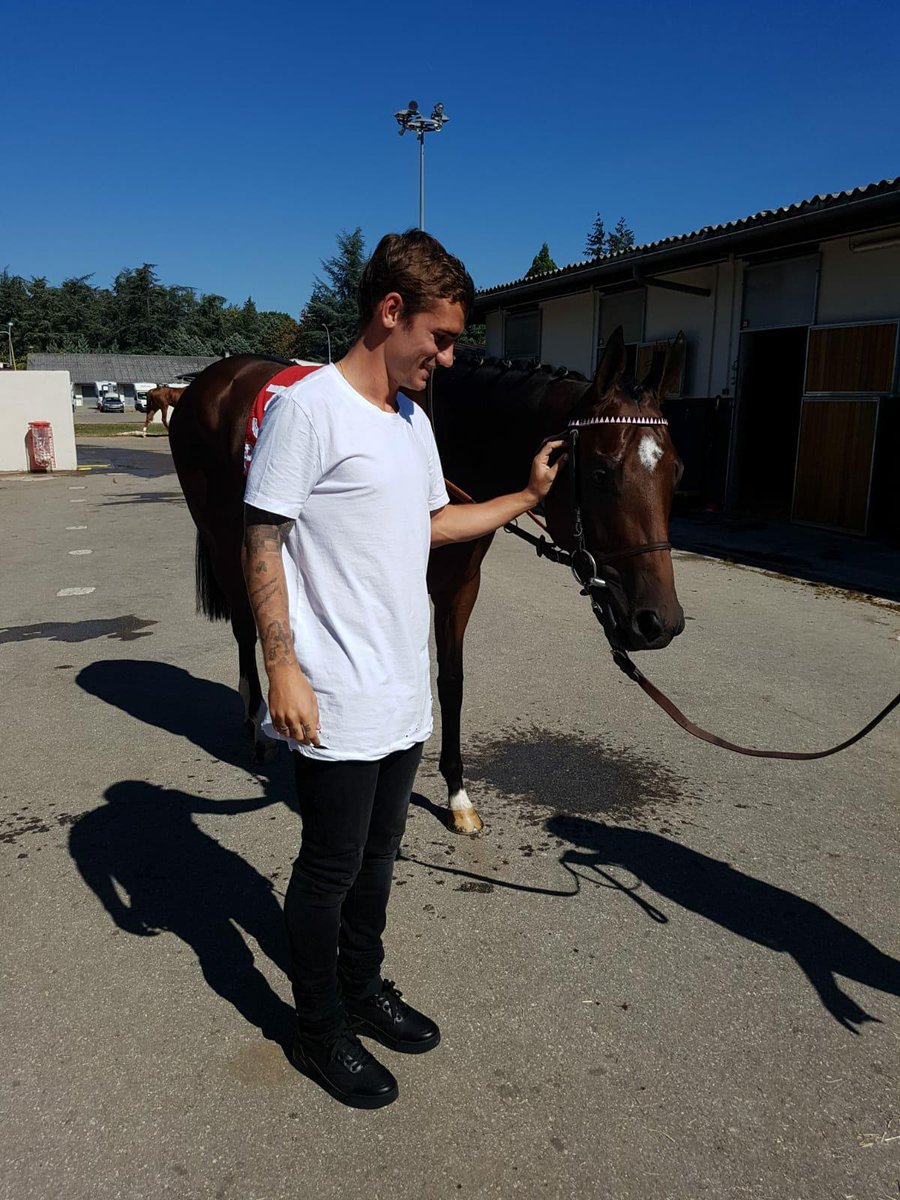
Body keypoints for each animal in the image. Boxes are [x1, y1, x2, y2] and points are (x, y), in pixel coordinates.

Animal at [168, 326, 685, 833]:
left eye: (676, 472)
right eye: (600, 472)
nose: (659, 623)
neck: (448, 441)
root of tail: (210, 381)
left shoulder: (460, 586)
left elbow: (451, 681)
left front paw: (457, 795)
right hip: (226, 537)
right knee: (245, 624)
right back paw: (257, 726)